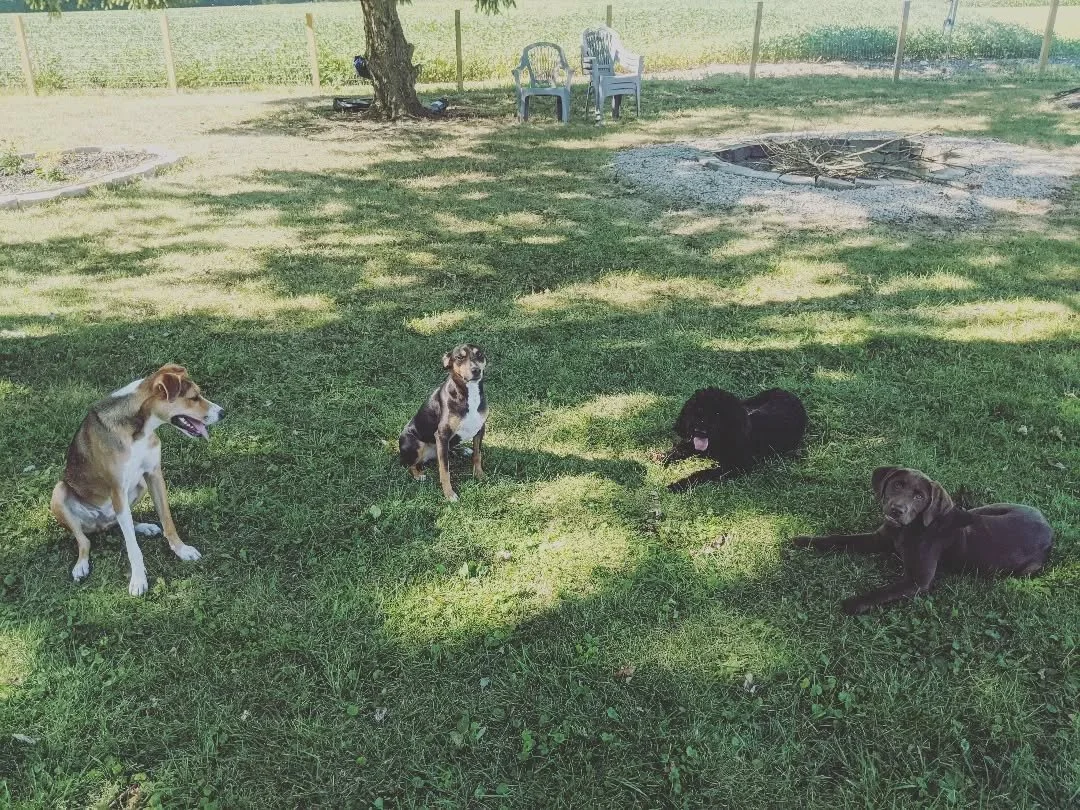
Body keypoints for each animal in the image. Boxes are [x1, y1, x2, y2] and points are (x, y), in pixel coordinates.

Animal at [50, 364, 224, 596]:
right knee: (85, 541)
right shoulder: (117, 490)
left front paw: (182, 550)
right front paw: (138, 579)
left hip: (139, 486)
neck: (137, 432)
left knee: (122, 523)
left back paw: (144, 527)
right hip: (59, 492)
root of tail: (100, 523)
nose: (223, 413)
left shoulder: (154, 475)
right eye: (193, 398)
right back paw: (81, 566)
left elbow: (167, 521)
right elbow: (132, 547)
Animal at [399, 344, 487, 502]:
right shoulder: (442, 434)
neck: (468, 393)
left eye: (480, 355)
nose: (476, 370)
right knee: (410, 464)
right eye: (459, 357)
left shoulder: (480, 428)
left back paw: (463, 450)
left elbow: (478, 455)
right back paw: (418, 475)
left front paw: (480, 475)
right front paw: (449, 494)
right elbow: (445, 469)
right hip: (415, 443)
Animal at [665, 387, 807, 492]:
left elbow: (704, 473)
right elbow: (679, 449)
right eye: (698, 410)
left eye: (717, 414)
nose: (700, 432)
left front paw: (679, 484)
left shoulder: (737, 467)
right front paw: (663, 459)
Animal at [792, 466, 1054, 615]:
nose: (896, 510)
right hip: (989, 508)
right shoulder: (879, 539)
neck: (908, 530)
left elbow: (883, 591)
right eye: (897, 484)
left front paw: (853, 603)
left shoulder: (918, 581)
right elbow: (840, 538)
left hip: (1026, 569)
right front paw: (805, 540)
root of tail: (1049, 527)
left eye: (919, 497)